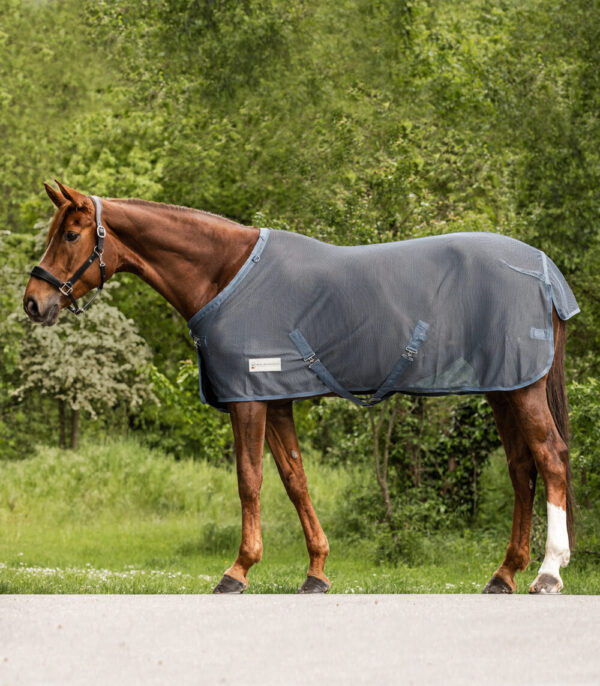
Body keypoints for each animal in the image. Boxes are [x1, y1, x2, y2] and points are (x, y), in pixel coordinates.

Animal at [23, 183, 576, 596]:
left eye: (70, 234)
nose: (33, 302)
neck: (225, 274)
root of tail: (545, 270)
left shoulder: (248, 399)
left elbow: (249, 480)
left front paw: (238, 570)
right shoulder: (276, 400)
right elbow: (295, 479)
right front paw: (316, 572)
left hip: (523, 390)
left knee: (550, 457)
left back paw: (548, 572)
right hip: (505, 388)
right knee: (521, 469)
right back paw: (504, 574)